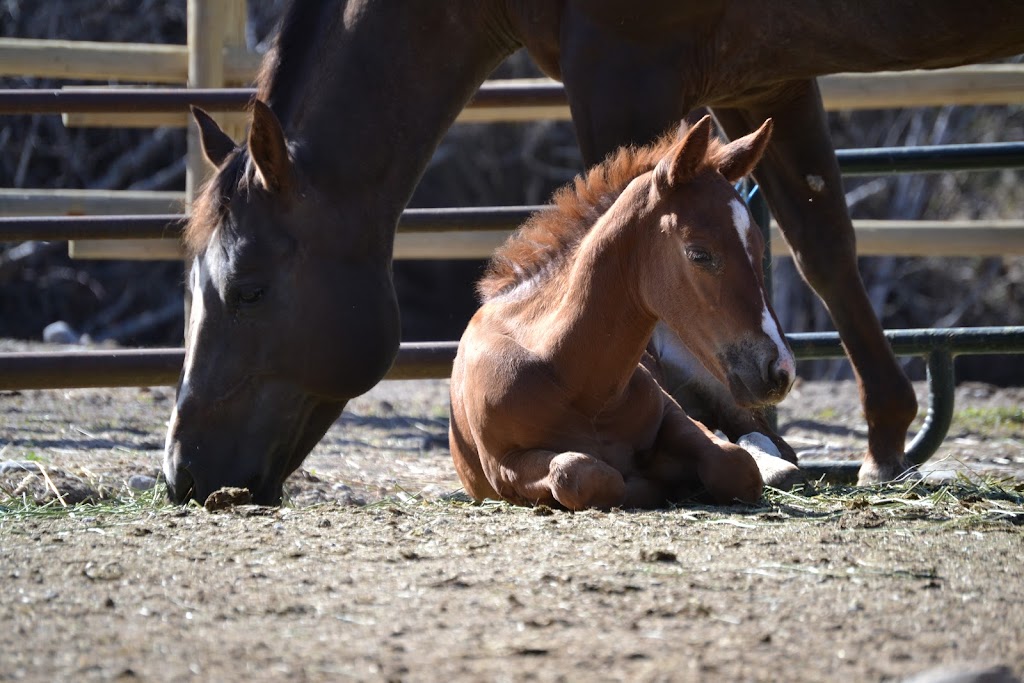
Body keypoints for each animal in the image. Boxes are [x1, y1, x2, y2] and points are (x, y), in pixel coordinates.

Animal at [450, 117, 798, 509]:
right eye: (699, 254)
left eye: (759, 244)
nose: (781, 369)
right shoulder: (503, 466)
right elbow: (580, 473)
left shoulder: (674, 415)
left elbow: (734, 465)